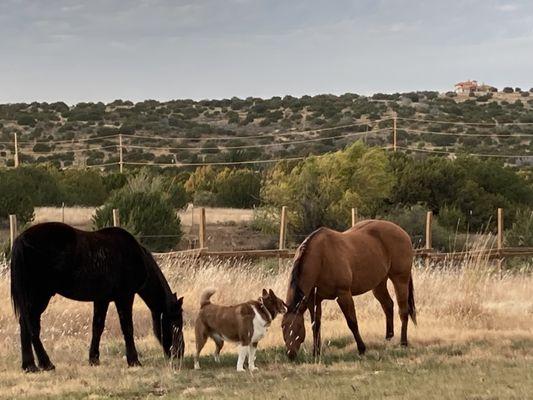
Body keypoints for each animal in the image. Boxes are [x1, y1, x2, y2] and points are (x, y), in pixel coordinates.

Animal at [9, 222, 185, 372]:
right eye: (176, 323)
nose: (179, 353)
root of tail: (21, 239)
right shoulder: (125, 297)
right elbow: (127, 328)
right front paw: (133, 360)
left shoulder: (102, 299)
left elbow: (97, 327)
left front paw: (93, 359)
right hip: (39, 296)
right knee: (31, 326)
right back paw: (45, 364)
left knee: (25, 324)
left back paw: (29, 365)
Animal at [280, 220, 414, 360]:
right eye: (282, 326)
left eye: (299, 326)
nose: (290, 354)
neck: (321, 258)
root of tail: (403, 232)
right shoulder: (314, 300)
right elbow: (315, 325)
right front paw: (316, 353)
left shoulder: (343, 295)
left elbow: (352, 322)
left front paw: (362, 348)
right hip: (379, 283)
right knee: (388, 305)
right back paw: (388, 338)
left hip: (400, 279)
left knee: (403, 310)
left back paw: (403, 342)